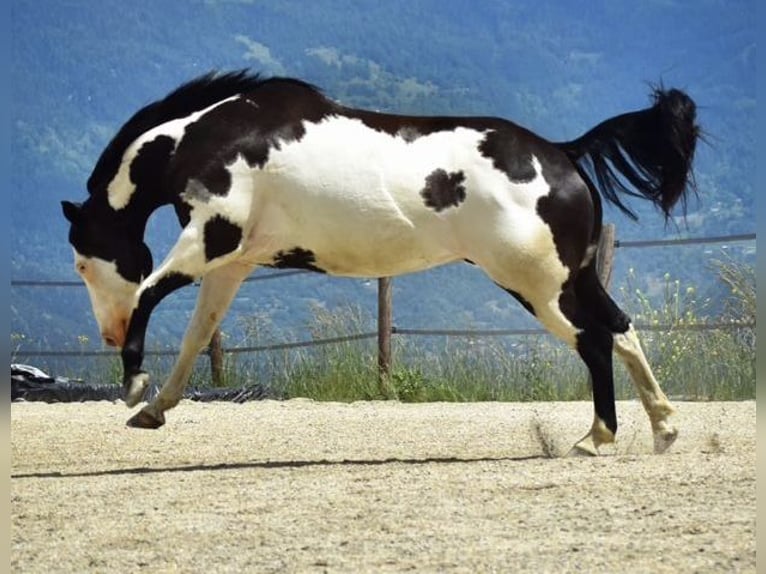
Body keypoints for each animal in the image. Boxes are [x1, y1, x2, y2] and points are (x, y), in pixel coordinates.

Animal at [62, 70, 699, 455]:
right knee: (621, 330)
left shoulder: (208, 241)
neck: (206, 139)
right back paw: (663, 428)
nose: (107, 333)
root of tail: (564, 155)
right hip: (570, 278)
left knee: (594, 341)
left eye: (82, 265)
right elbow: (198, 337)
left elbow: (147, 293)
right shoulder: (230, 264)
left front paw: (134, 385)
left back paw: (596, 438)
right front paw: (155, 410)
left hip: (537, 286)